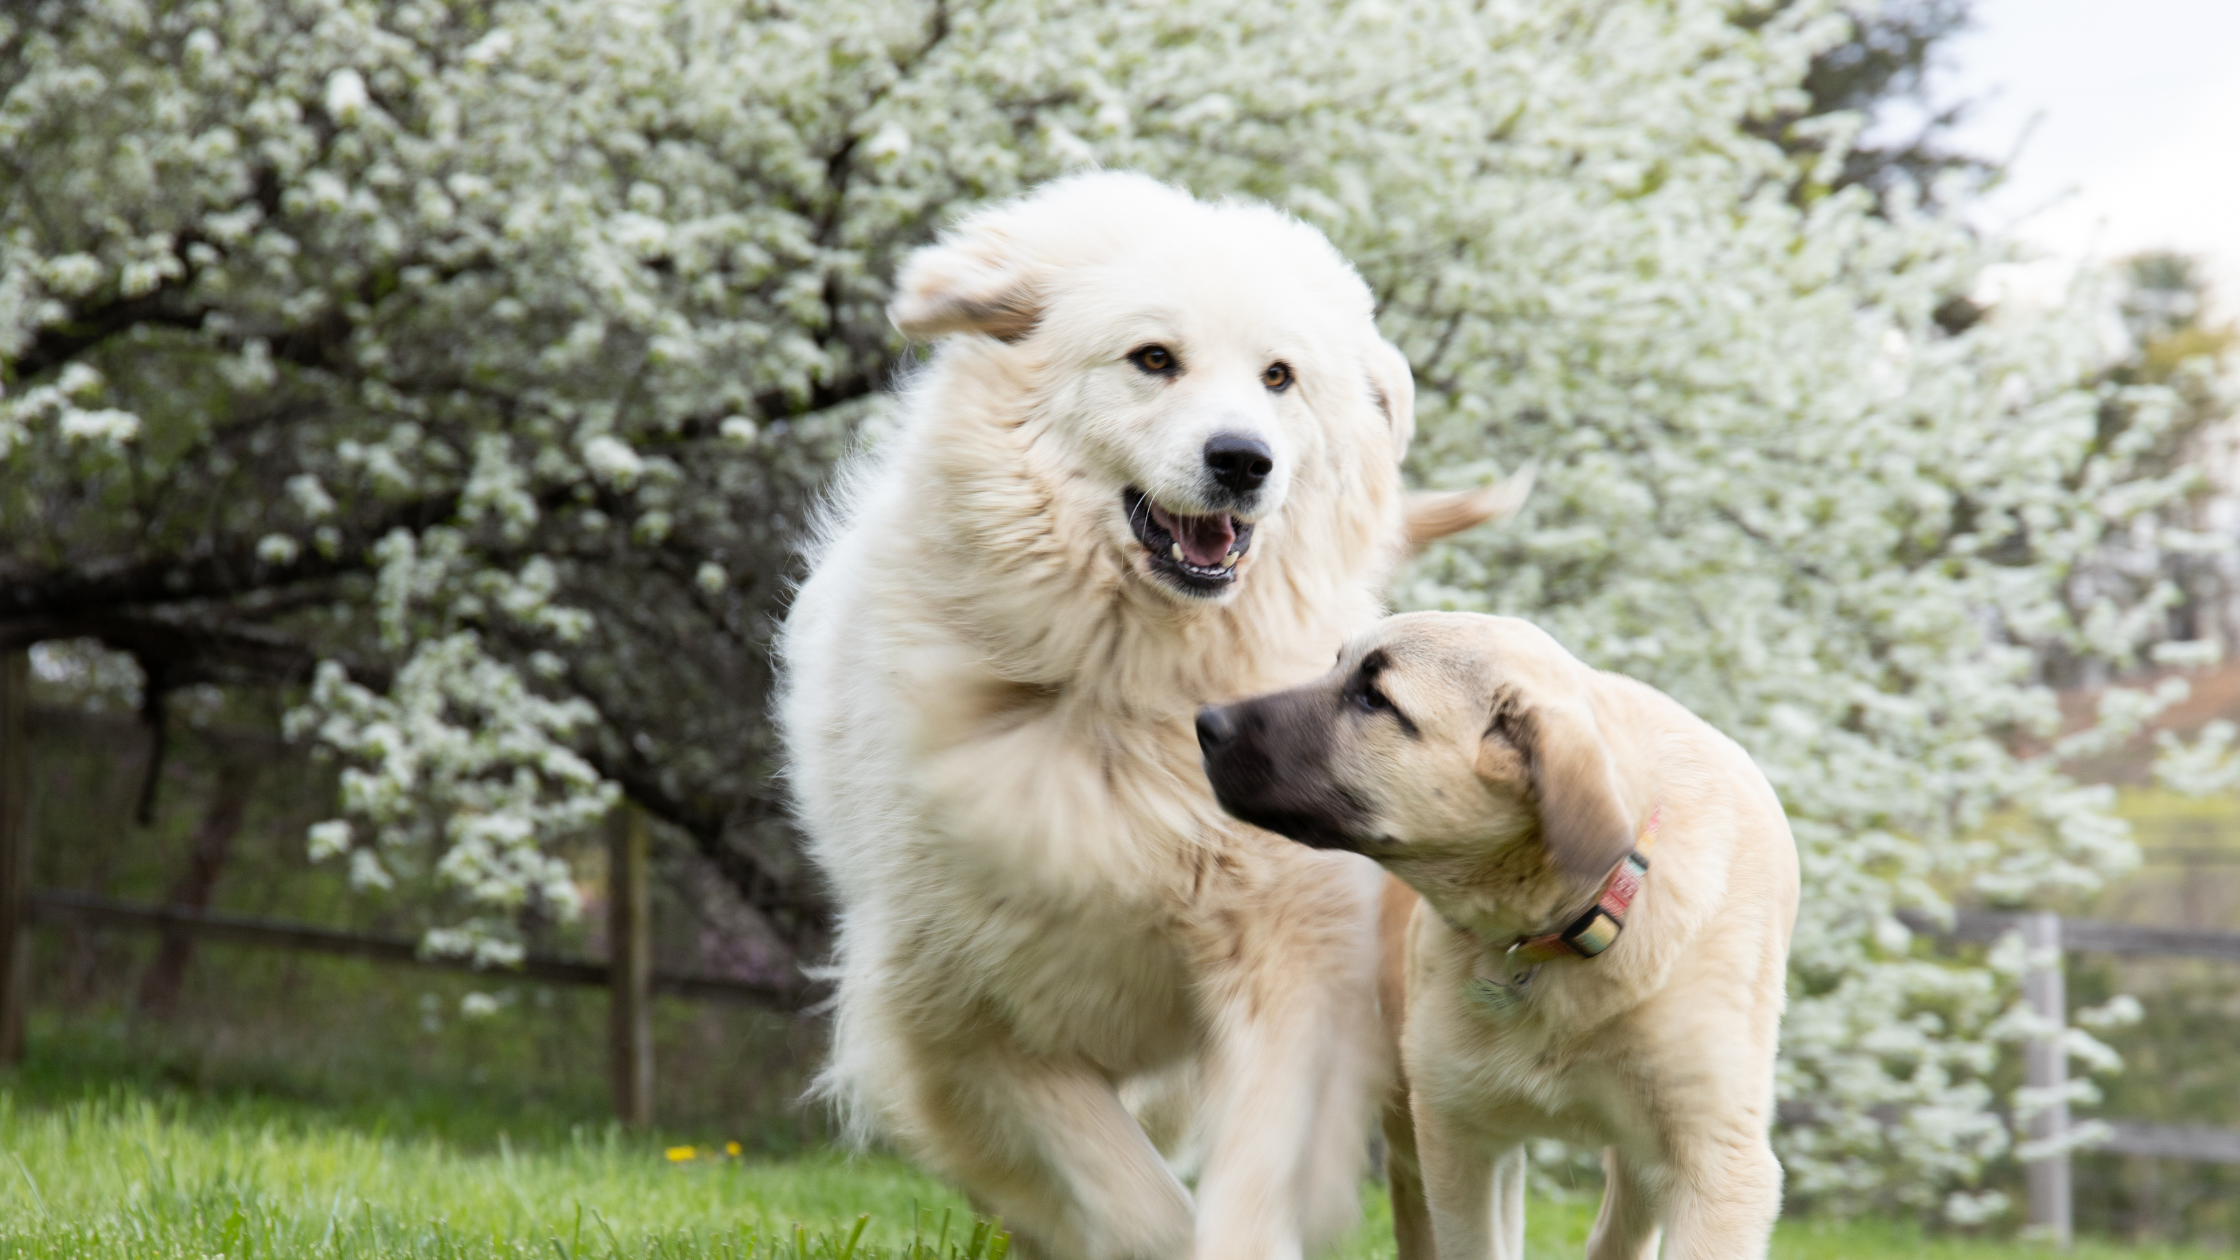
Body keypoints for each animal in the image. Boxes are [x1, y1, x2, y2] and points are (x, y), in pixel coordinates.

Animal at [776, 173, 1521, 1260]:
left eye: (1278, 377)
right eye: (1153, 359)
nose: (1242, 460)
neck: (1138, 683)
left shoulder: (1290, 963)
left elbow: (1251, 1175)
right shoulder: (960, 1021)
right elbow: (1125, 1193)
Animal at [1198, 611, 1799, 1260]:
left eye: (1374, 699)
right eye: (1337, 665)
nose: (1205, 722)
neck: (1557, 936)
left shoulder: (1718, 1167)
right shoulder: (1456, 1133)